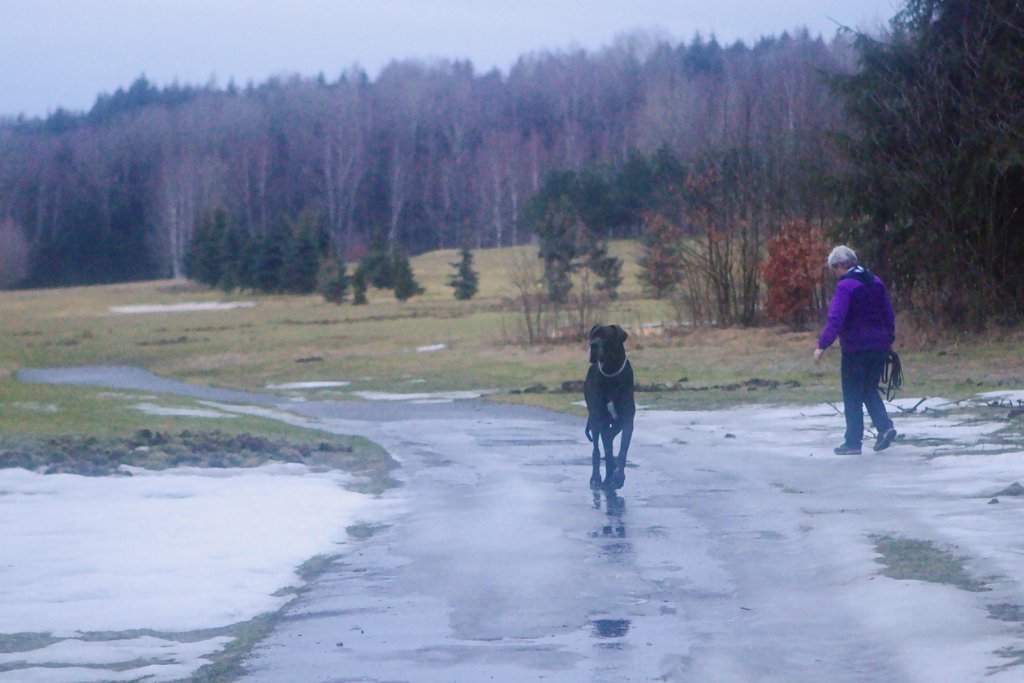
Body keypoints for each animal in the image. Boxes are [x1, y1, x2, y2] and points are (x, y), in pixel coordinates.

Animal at [585, 327, 630, 491]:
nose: (593, 345)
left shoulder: (627, 420)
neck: (611, 374)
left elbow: (622, 449)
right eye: (593, 336)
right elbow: (607, 446)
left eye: (606, 336)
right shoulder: (602, 419)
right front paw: (609, 478)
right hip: (594, 417)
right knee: (597, 447)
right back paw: (597, 477)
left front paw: (618, 477)